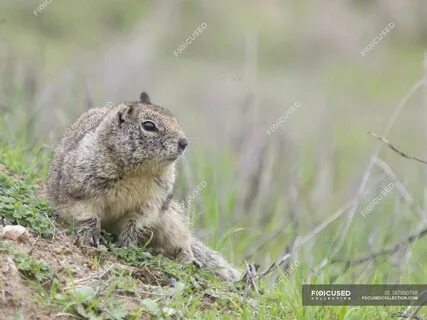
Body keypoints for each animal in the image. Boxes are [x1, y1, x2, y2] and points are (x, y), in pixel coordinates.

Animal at [47, 91, 241, 282]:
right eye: (149, 126)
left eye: (174, 119)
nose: (184, 142)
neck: (139, 172)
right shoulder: (82, 186)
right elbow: (86, 213)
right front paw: (91, 235)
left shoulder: (152, 201)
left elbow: (136, 223)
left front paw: (127, 244)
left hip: (171, 219)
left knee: (182, 240)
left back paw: (188, 259)